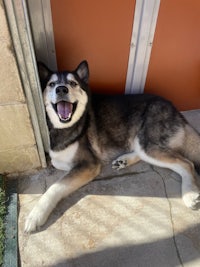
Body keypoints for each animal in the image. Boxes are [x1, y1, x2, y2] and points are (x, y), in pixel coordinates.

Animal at [24, 60, 198, 232]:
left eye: (73, 83)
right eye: (52, 84)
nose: (61, 89)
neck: (67, 125)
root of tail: (174, 109)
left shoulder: (89, 164)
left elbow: (55, 186)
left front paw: (36, 215)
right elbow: (57, 162)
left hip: (147, 144)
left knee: (187, 163)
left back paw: (190, 194)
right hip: (141, 143)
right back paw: (123, 161)